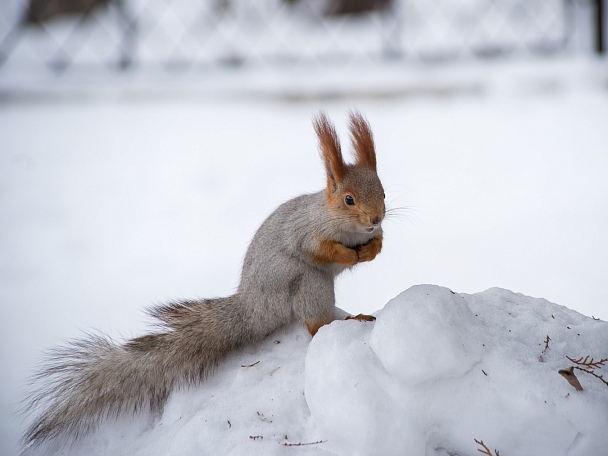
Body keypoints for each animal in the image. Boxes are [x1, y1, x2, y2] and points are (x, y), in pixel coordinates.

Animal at [22, 111, 384, 448]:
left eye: (382, 191)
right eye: (349, 199)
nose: (377, 218)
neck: (346, 227)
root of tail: (253, 308)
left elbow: (375, 245)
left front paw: (372, 250)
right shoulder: (305, 232)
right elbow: (318, 250)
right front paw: (347, 255)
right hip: (306, 283)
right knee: (314, 323)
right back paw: (344, 319)